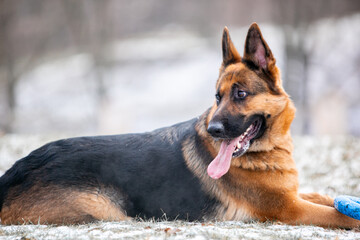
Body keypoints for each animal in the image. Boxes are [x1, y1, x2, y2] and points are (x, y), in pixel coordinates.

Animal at [0, 23, 360, 229]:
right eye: (217, 97)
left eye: (241, 94)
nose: (214, 130)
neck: (267, 150)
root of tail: (17, 170)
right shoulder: (288, 208)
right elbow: (338, 214)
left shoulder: (293, 196)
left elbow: (326, 197)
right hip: (105, 209)